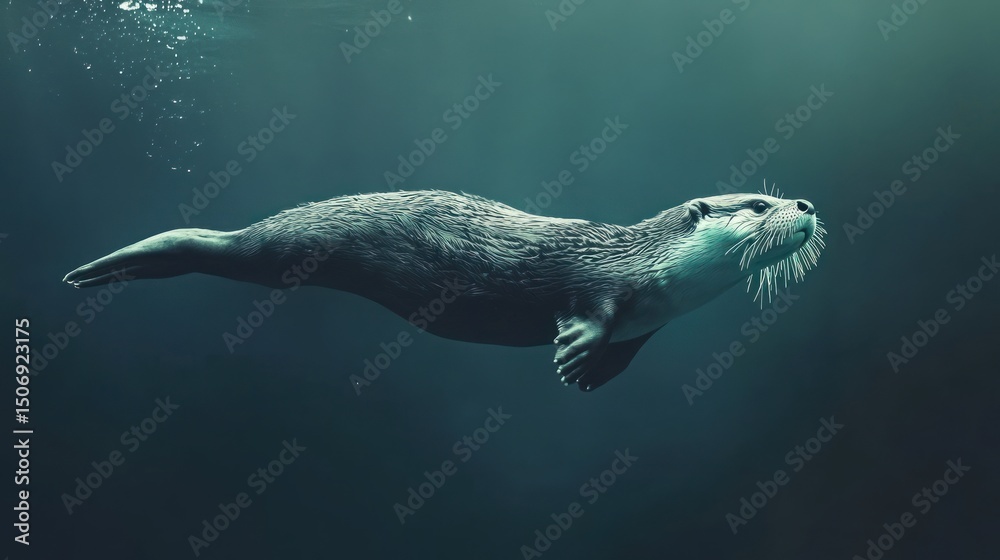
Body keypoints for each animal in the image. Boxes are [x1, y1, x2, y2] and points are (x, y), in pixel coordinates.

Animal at [63, 189, 825, 391]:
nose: (807, 204)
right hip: (275, 249)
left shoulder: (649, 325)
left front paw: (591, 374)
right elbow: (588, 316)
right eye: (758, 203)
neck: (651, 264)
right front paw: (573, 355)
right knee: (218, 246)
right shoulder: (602, 283)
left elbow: (623, 353)